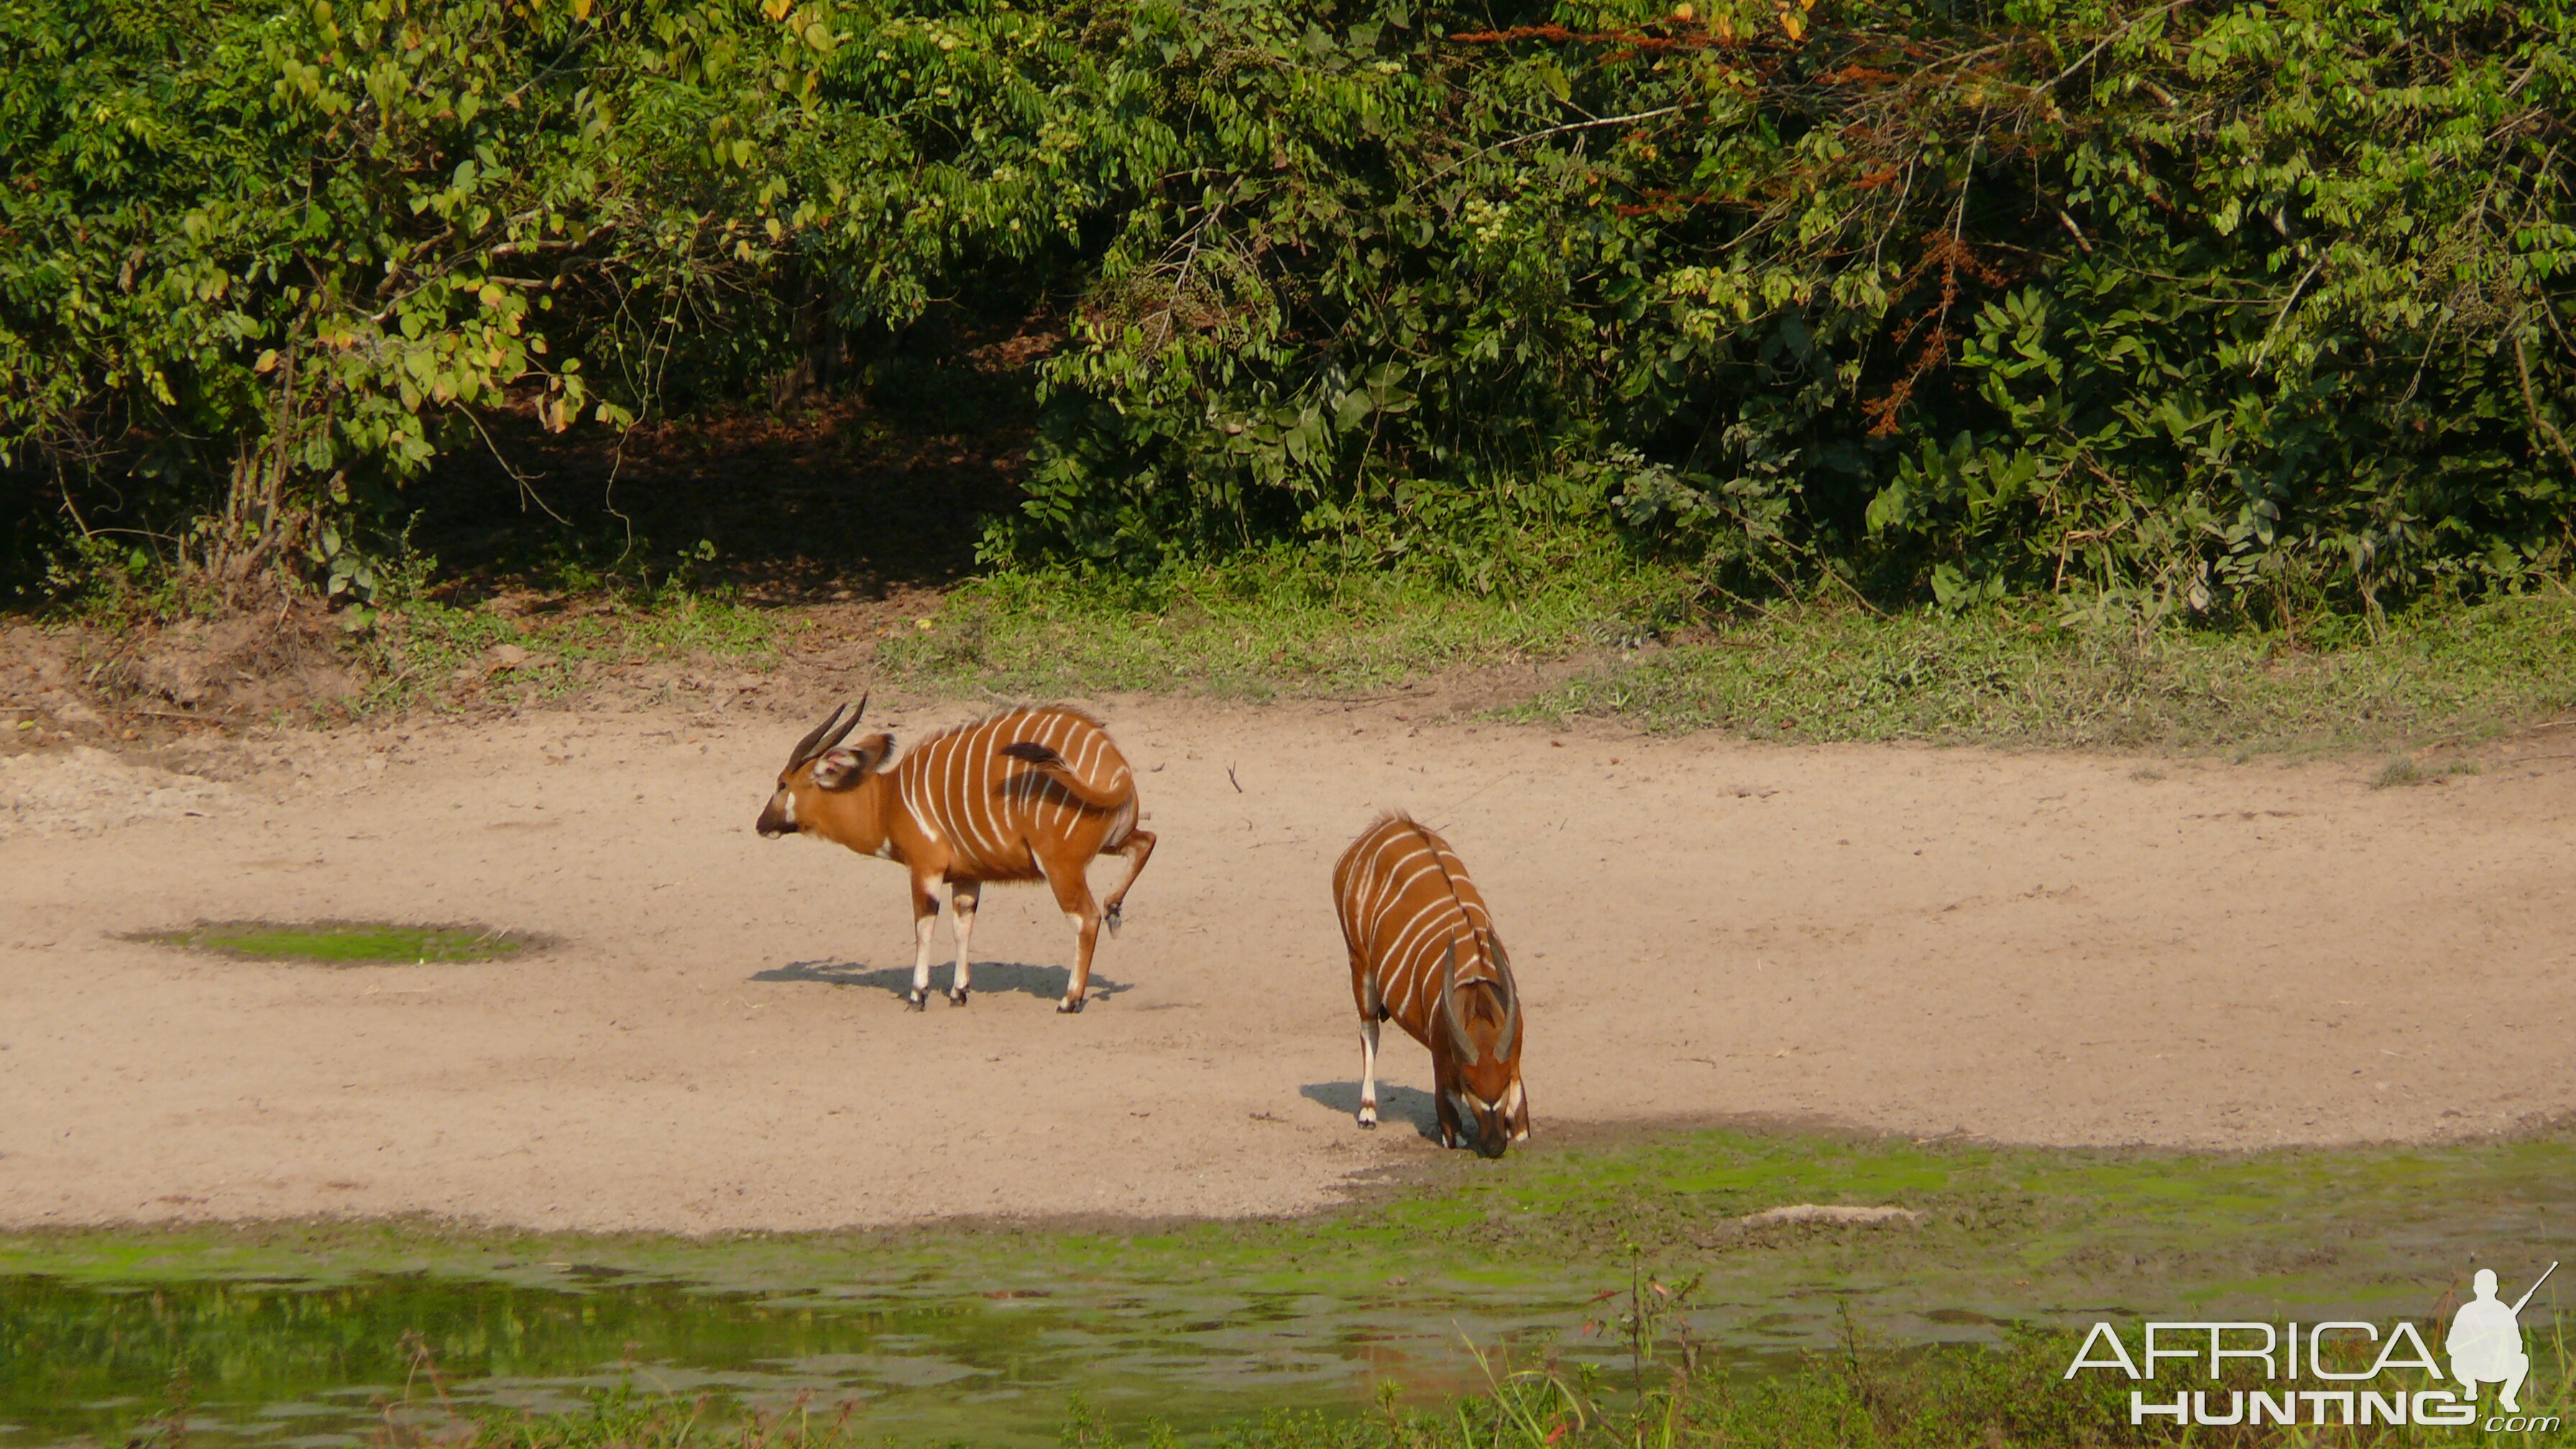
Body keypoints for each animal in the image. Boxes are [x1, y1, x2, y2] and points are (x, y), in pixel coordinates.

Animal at [752, 696, 1159, 1011]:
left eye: (782, 784)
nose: (761, 824)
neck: (887, 801)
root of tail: (1118, 770)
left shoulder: (925, 869)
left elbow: (924, 925)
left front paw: (918, 994)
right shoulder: (966, 878)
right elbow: (963, 925)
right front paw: (958, 992)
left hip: (1060, 865)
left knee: (1086, 918)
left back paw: (1069, 999)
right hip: (1112, 841)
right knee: (1145, 842)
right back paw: (1115, 910)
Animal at [1329, 814, 1524, 1149]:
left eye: (1502, 1080)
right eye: (1468, 1082)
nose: (1494, 1144)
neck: (1475, 993)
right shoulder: (1442, 1062)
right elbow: (1453, 1131)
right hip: (1359, 963)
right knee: (1368, 1030)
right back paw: (1367, 1111)